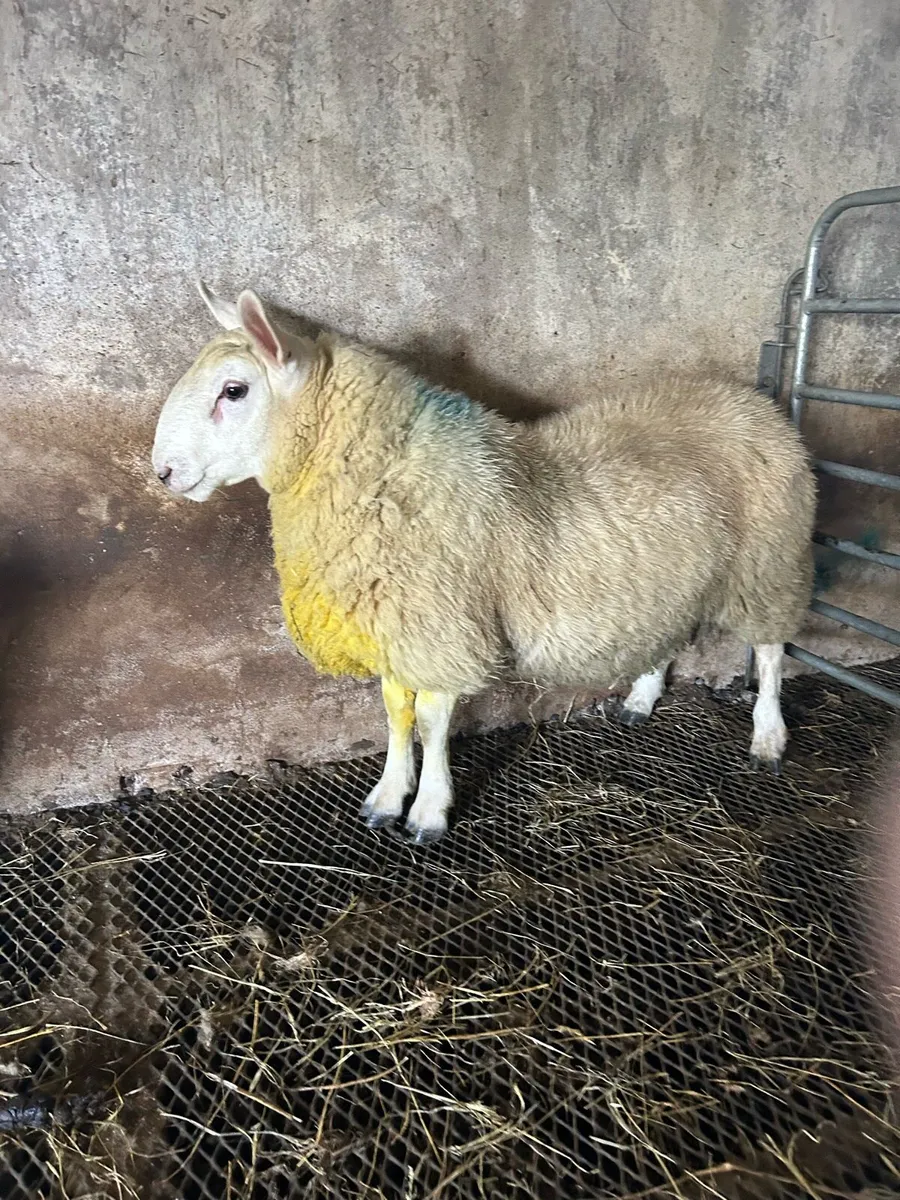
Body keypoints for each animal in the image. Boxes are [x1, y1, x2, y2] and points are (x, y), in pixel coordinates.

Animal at [151, 282, 816, 845]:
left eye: (234, 390)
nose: (161, 472)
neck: (384, 474)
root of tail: (752, 400)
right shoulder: (394, 622)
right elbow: (395, 713)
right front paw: (387, 797)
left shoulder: (440, 624)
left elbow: (431, 720)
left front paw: (427, 811)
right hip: (674, 576)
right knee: (671, 632)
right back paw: (642, 697)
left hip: (769, 560)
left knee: (769, 651)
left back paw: (767, 737)